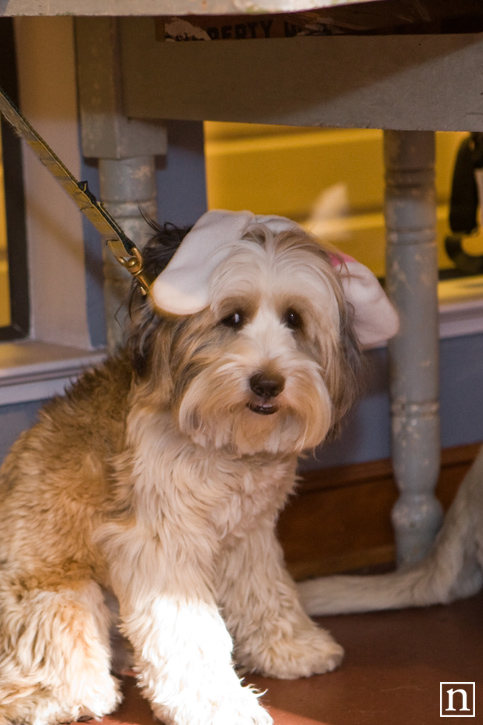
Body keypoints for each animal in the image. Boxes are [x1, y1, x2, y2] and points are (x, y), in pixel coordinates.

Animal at [0, 209, 398, 724]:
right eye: (233, 318)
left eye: (294, 319)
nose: (267, 383)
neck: (224, 443)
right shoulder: (160, 546)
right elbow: (188, 635)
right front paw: (217, 702)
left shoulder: (250, 536)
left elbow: (268, 592)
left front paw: (291, 647)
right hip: (57, 595)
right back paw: (61, 695)